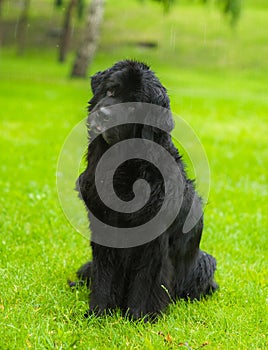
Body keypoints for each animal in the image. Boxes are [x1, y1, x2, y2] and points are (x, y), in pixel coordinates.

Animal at [71, 60, 218, 320]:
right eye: (111, 91)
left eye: (132, 107)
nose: (103, 114)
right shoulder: (103, 230)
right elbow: (103, 275)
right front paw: (98, 312)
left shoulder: (153, 242)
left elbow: (146, 280)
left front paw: (138, 317)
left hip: (205, 262)